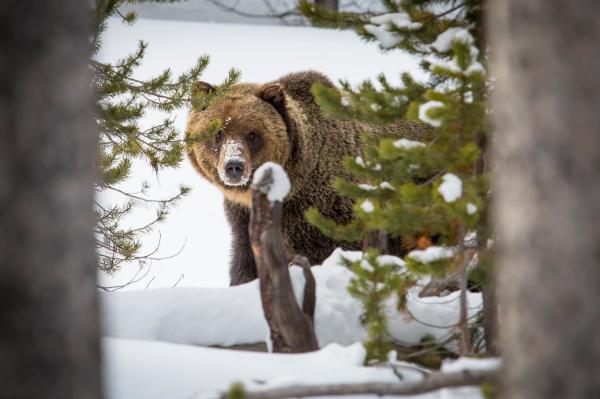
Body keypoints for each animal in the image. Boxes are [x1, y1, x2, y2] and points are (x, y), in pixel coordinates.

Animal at [185, 71, 428, 284]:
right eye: (217, 133)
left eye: (252, 134)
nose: (234, 166)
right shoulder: (243, 218)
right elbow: (246, 263)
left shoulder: (321, 212)